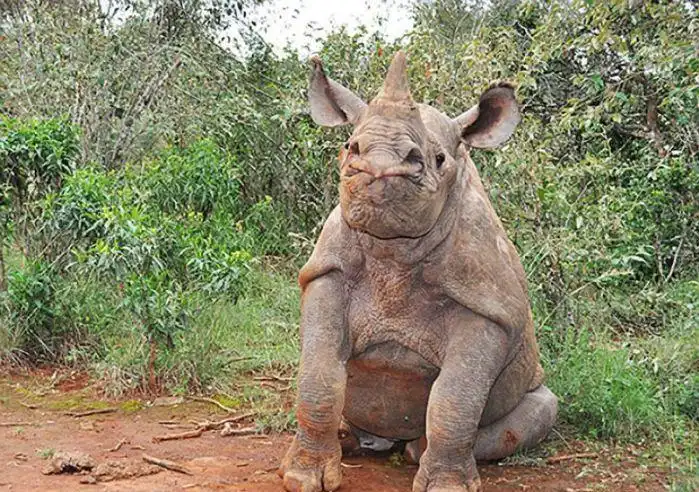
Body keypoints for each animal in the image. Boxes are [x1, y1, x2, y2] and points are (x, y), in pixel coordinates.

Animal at [279, 51, 558, 492]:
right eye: (348, 146)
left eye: (439, 159)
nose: (378, 166)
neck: (394, 248)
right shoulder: (327, 272)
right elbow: (319, 376)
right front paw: (303, 477)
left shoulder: (489, 308)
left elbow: (456, 396)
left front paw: (447, 487)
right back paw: (357, 441)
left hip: (535, 380)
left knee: (538, 409)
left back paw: (414, 449)